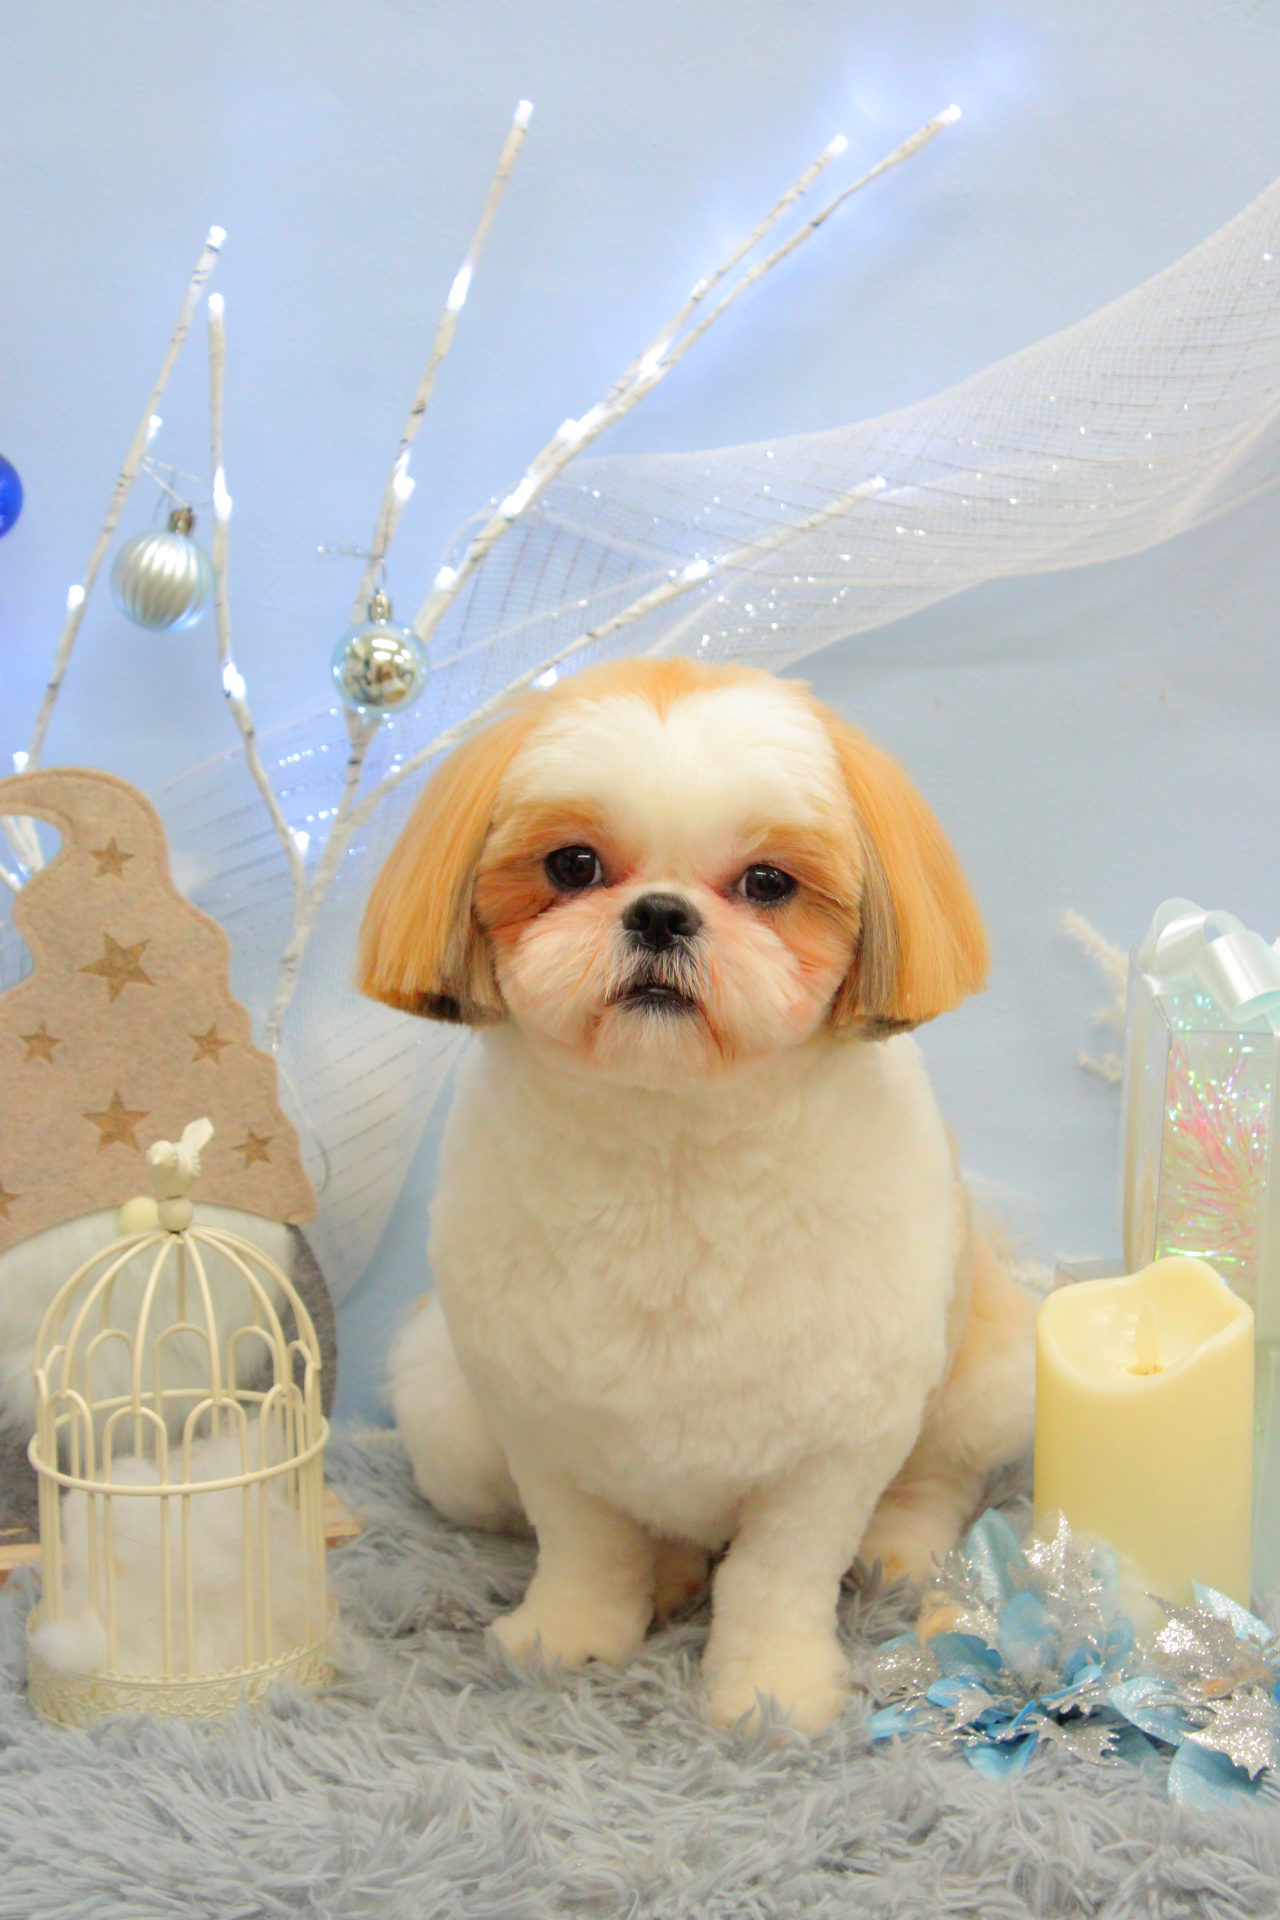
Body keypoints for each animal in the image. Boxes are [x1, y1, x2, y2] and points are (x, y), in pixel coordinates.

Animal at [360, 657, 1034, 1732]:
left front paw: (770, 1692)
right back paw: (670, 1573)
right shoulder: (540, 1421)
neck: (671, 1158)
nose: (660, 913)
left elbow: (777, 1577)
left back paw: (899, 1547)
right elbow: (584, 1549)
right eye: (572, 866)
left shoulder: (835, 1446)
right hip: (445, 1420)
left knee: (940, 1475)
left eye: (767, 883)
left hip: (990, 1373)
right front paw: (566, 1641)